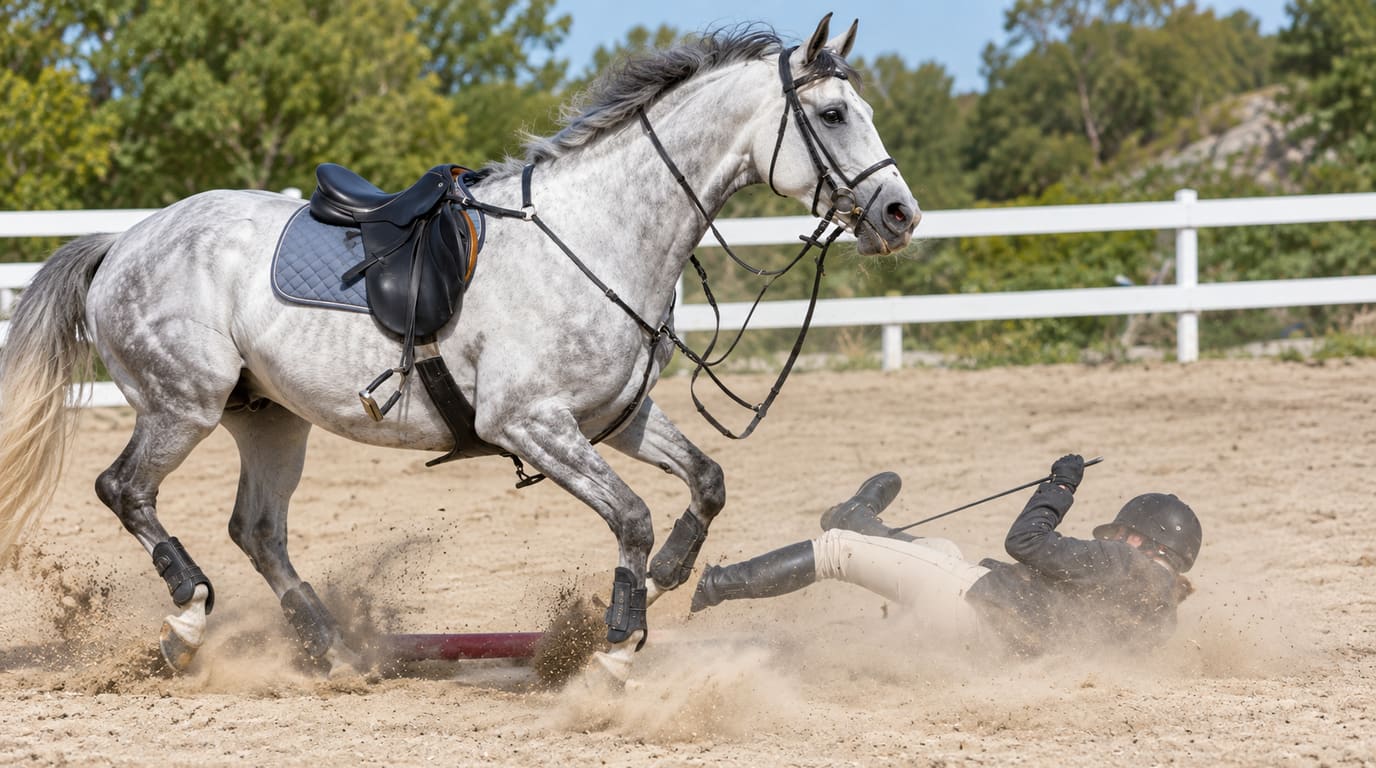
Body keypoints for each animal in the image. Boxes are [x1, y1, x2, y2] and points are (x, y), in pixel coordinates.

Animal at [0, 14, 918, 680]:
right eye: (834, 115)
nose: (900, 215)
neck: (599, 234)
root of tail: (125, 240)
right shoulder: (531, 425)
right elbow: (631, 515)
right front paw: (618, 645)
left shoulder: (612, 418)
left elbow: (706, 483)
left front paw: (664, 581)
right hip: (180, 405)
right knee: (126, 490)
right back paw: (188, 621)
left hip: (266, 419)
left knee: (257, 530)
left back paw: (334, 649)